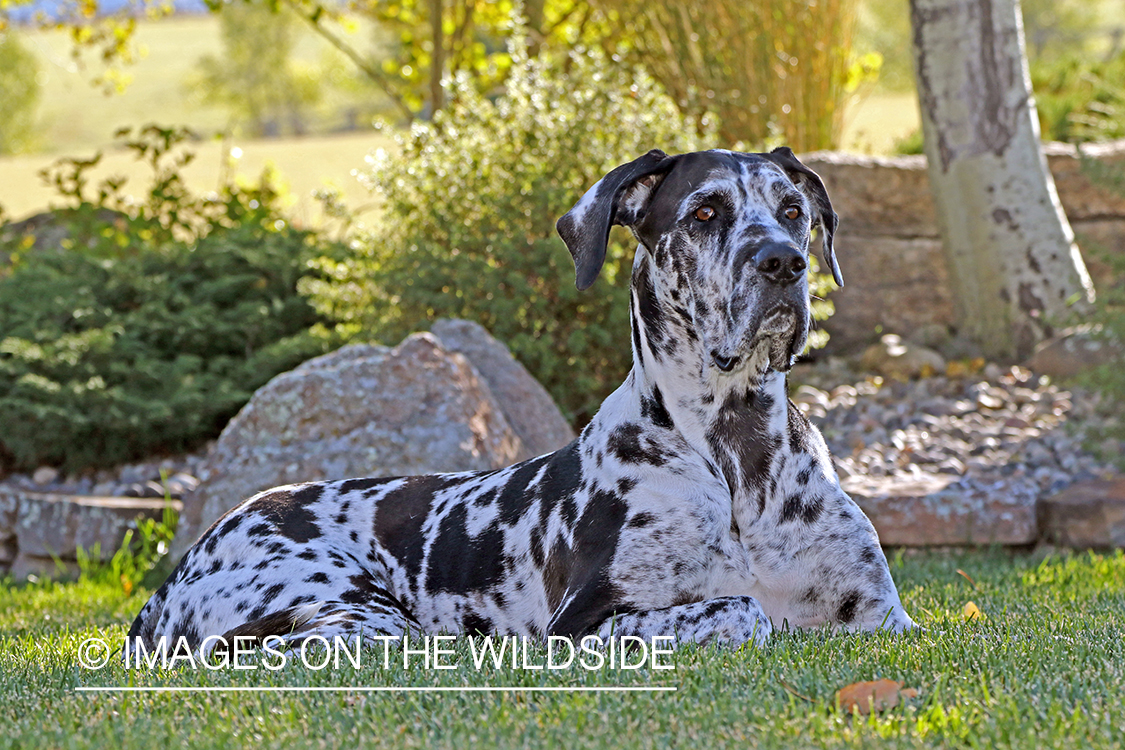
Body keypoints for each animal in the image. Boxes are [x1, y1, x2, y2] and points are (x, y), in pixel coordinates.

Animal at [127, 146, 913, 652]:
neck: (733, 451)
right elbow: (745, 609)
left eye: (792, 208)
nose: (783, 262)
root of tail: (179, 569)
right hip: (358, 616)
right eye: (704, 212)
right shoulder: (584, 625)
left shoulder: (886, 621)